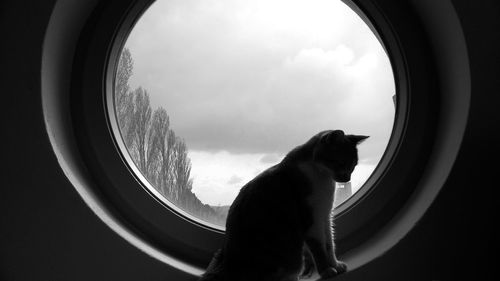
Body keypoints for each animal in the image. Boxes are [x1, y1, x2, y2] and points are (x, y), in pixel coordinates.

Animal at [199, 130, 368, 278]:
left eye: (353, 166)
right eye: (341, 163)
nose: (347, 179)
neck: (323, 177)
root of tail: (228, 263)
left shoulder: (325, 215)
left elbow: (329, 244)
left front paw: (336, 265)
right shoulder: (311, 219)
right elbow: (319, 249)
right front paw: (326, 270)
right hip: (289, 255)